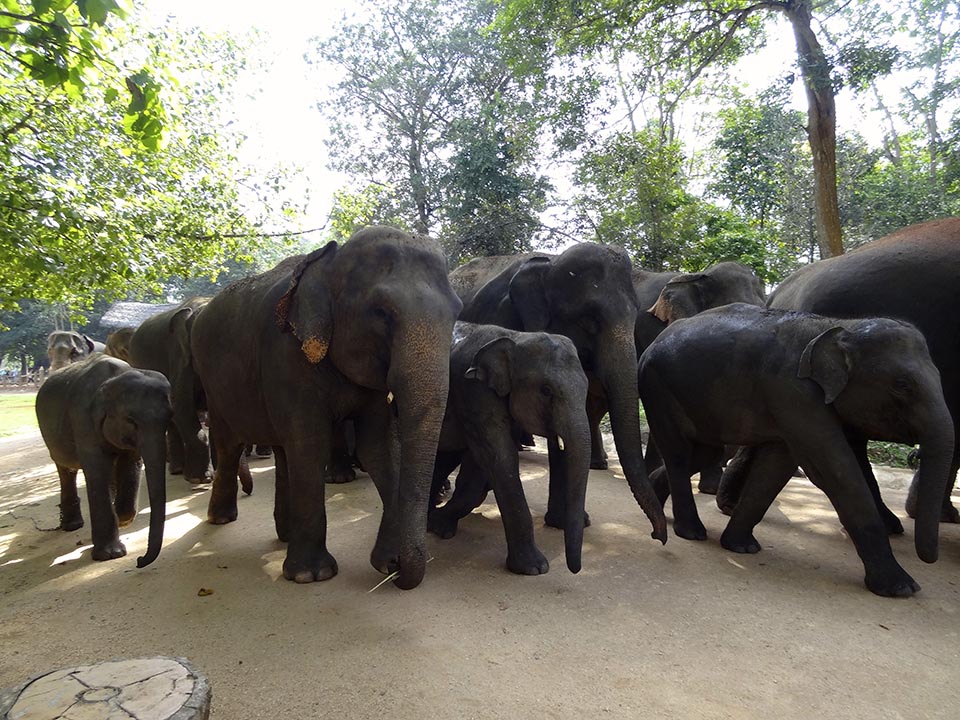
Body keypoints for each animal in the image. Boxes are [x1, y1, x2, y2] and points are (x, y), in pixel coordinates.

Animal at [35, 354, 172, 567]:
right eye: (131, 421)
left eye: (170, 417)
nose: (139, 560)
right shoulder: (82, 419)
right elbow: (97, 470)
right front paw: (111, 554)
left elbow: (130, 462)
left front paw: (122, 519)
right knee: (65, 469)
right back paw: (72, 525)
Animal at [190, 226, 462, 588]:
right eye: (381, 312)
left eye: (457, 312)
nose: (401, 571)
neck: (330, 262)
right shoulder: (286, 355)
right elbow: (310, 445)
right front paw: (311, 575)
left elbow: (378, 447)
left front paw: (386, 563)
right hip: (215, 386)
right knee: (230, 444)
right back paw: (221, 519)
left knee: (282, 449)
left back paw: (285, 535)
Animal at [428, 322, 590, 575]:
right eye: (546, 390)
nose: (574, 570)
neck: (516, 337)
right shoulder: (473, 391)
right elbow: (498, 457)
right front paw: (534, 569)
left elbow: (482, 465)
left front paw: (439, 524)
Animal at [458, 243, 667, 544]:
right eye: (589, 320)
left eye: (635, 314)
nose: (656, 536)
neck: (551, 264)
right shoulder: (500, 320)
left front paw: (567, 522)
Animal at [638, 303, 954, 597]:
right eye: (902, 385)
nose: (928, 560)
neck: (841, 327)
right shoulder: (793, 392)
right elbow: (833, 469)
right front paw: (902, 588)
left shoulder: (790, 403)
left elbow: (777, 466)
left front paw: (742, 548)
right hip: (658, 387)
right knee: (680, 455)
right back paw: (690, 532)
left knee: (707, 453)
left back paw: (656, 500)